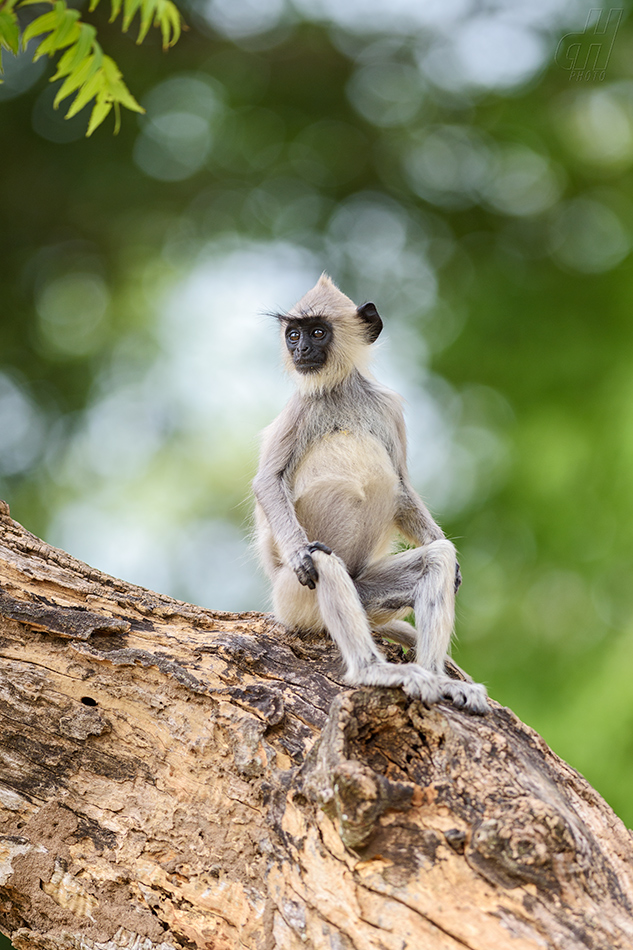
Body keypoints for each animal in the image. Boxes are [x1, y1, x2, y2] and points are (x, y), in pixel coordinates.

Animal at [253, 276, 488, 712]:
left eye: (316, 332)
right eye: (293, 334)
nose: (300, 350)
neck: (339, 391)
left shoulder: (386, 407)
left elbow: (402, 487)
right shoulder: (301, 407)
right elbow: (268, 482)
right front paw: (298, 552)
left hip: (364, 591)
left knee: (437, 557)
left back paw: (436, 677)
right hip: (292, 599)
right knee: (322, 560)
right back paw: (372, 671)